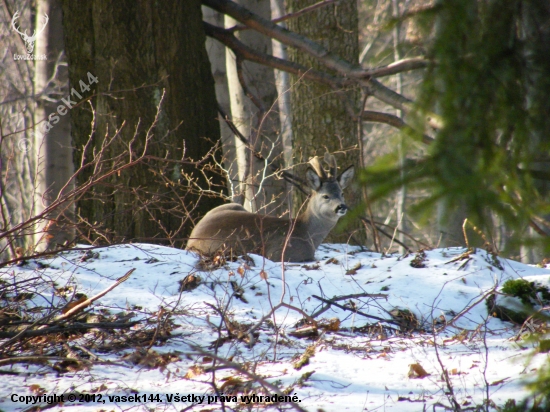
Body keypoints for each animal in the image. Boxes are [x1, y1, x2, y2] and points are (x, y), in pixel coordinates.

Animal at [188, 153, 356, 262]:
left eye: (341, 193)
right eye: (325, 196)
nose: (341, 206)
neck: (305, 233)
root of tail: (191, 238)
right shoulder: (279, 253)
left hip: (232, 206)